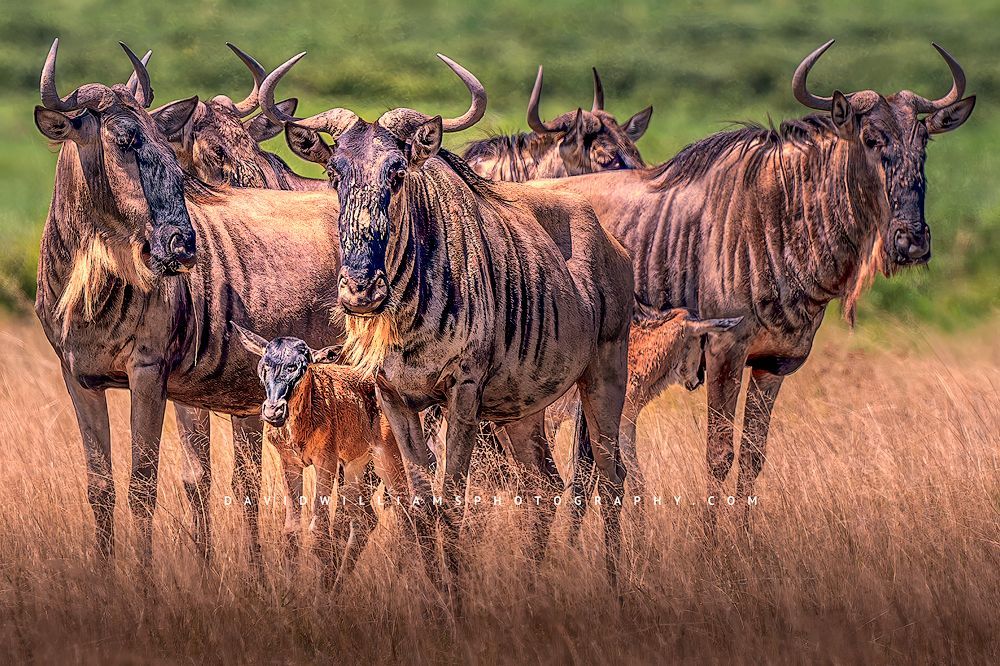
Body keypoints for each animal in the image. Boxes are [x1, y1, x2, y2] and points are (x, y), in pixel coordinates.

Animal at [33, 39, 346, 571]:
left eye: (167, 150)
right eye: (124, 140)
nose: (180, 245)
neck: (91, 288)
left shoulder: (149, 375)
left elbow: (144, 486)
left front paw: (145, 580)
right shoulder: (78, 377)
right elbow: (108, 487)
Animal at [259, 52, 635, 591]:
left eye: (397, 172)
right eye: (334, 173)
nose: (360, 290)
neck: (407, 314)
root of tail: (610, 241)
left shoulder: (463, 392)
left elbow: (454, 501)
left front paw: (457, 596)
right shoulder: (394, 398)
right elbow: (419, 504)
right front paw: (437, 595)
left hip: (604, 373)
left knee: (609, 476)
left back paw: (614, 584)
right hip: (521, 409)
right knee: (545, 486)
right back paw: (531, 584)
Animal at [528, 40, 976, 534]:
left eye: (924, 143)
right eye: (873, 140)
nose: (912, 241)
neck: (780, 220)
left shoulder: (773, 363)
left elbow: (752, 458)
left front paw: (744, 538)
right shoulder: (725, 352)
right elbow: (718, 455)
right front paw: (711, 542)